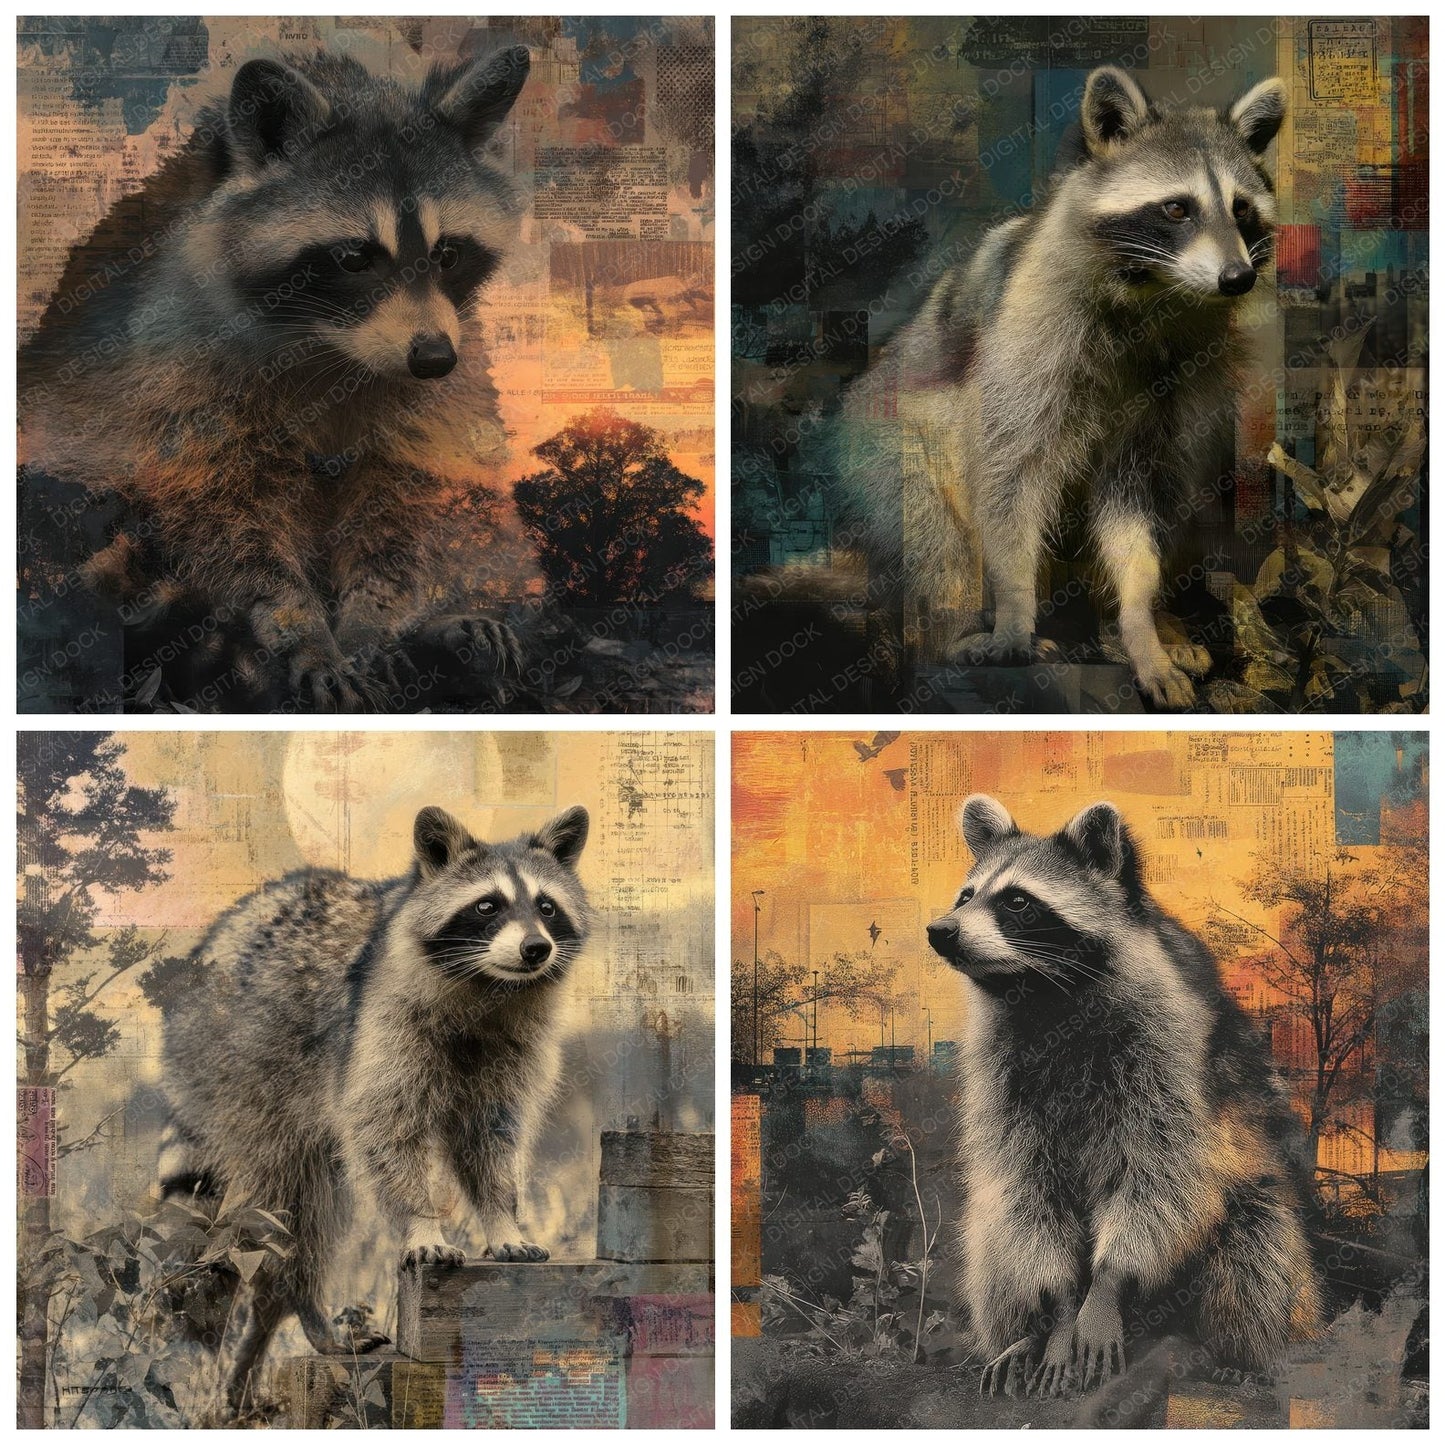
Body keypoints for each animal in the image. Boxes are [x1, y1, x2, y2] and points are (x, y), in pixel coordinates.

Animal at [20, 47, 532, 710]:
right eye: (354, 258)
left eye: (447, 253)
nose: (433, 358)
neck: (334, 349)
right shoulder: (174, 372)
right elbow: (228, 515)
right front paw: (300, 628)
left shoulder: (439, 390)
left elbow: (396, 512)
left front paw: (372, 626)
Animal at [160, 803, 590, 1411]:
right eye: (487, 906)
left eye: (547, 906)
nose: (536, 949)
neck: (488, 988)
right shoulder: (381, 1028)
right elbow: (386, 1131)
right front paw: (422, 1224)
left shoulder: (512, 1052)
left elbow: (493, 1139)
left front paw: (502, 1216)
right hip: (237, 1074)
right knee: (290, 1207)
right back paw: (303, 1306)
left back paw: (259, 1343)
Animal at [837, 67, 1288, 708]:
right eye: (1177, 208)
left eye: (1242, 209)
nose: (1238, 277)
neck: (1156, 291)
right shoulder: (1026, 338)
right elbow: (1008, 477)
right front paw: (1013, 616)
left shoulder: (1171, 385)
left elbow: (1137, 511)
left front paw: (1140, 623)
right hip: (885, 452)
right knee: (936, 541)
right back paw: (954, 630)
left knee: (1180, 494)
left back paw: (1145, 622)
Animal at [926, 795, 1319, 1397]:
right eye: (965, 897)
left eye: (1017, 901)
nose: (940, 930)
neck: (1043, 994)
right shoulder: (998, 1067)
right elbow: (1025, 1180)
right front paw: (1062, 1309)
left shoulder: (1167, 1039)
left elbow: (1163, 1171)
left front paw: (1107, 1286)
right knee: (995, 1227)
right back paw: (1023, 1335)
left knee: (1257, 1239)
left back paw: (1238, 1353)